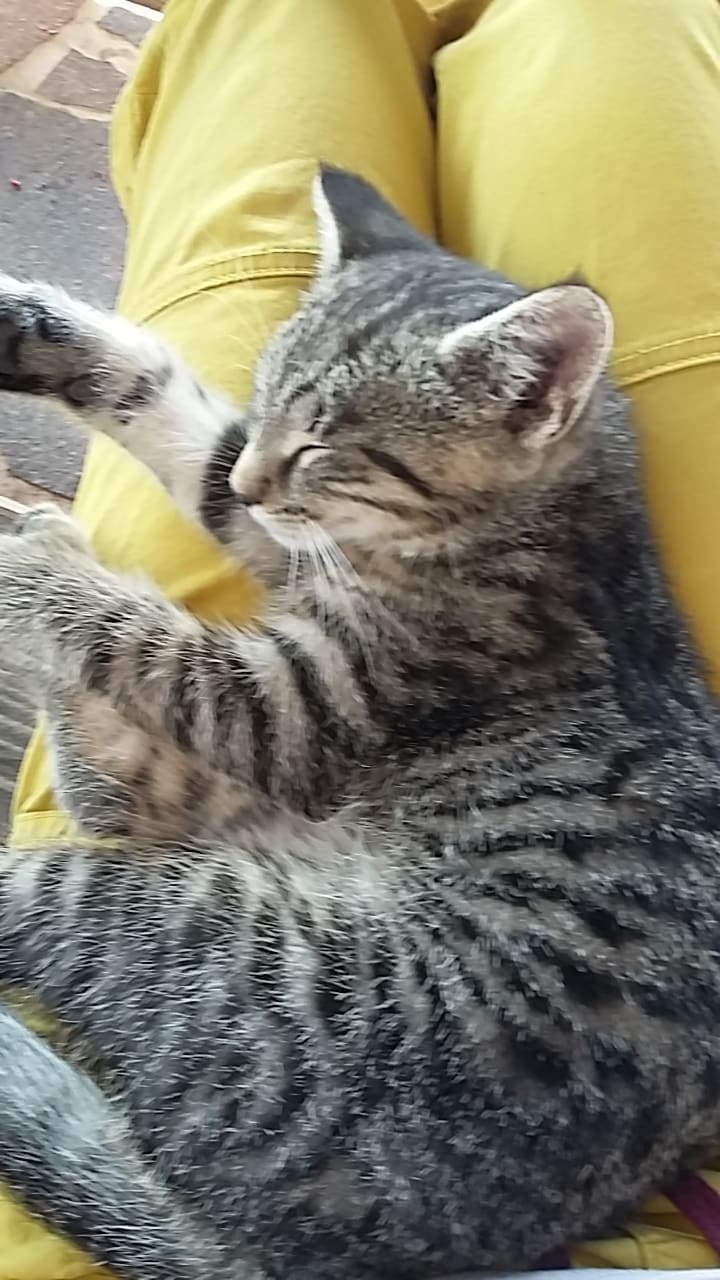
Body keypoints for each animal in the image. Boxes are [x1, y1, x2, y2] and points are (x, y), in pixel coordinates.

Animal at [0, 166, 717, 1280]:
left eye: (327, 447)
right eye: (265, 408)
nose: (260, 474)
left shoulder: (299, 702)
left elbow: (142, 637)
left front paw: (31, 575)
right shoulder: (286, 545)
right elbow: (181, 432)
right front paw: (29, 333)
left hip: (216, 930)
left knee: (77, 838)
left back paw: (43, 549)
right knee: (116, 787)